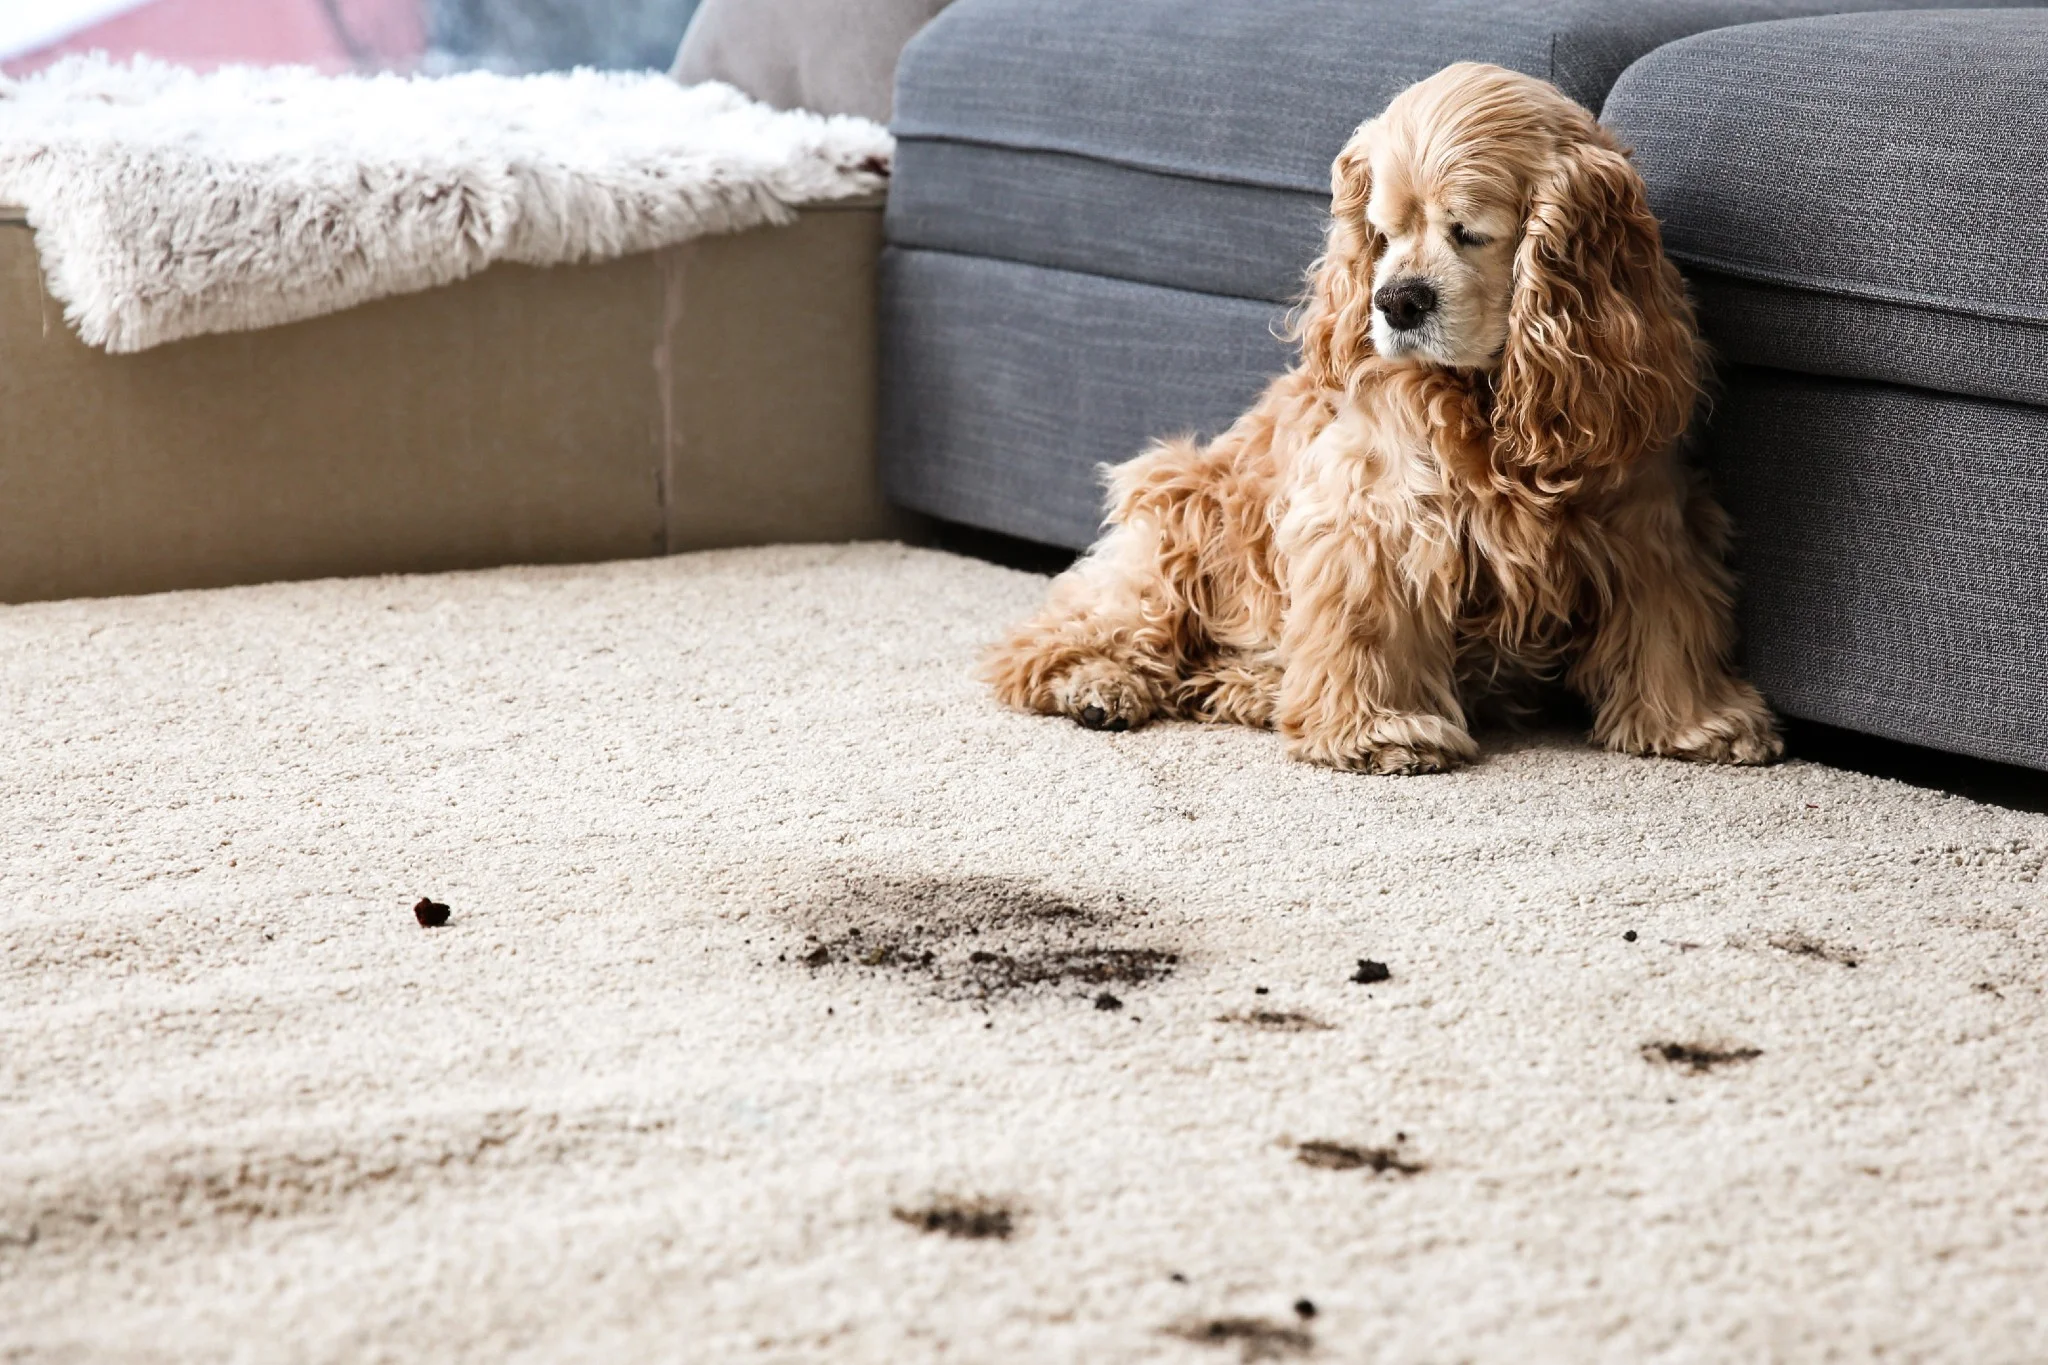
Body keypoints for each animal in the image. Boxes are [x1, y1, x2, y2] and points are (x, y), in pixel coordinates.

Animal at [978, 61, 1777, 777]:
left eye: (1470, 232)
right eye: (1382, 233)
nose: (1397, 300)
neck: (1488, 398)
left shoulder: (1646, 518)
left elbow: (1667, 625)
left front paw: (1697, 722)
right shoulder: (1373, 517)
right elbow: (1368, 625)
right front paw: (1379, 732)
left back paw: (1251, 688)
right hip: (1178, 518)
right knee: (1058, 635)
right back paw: (1097, 684)